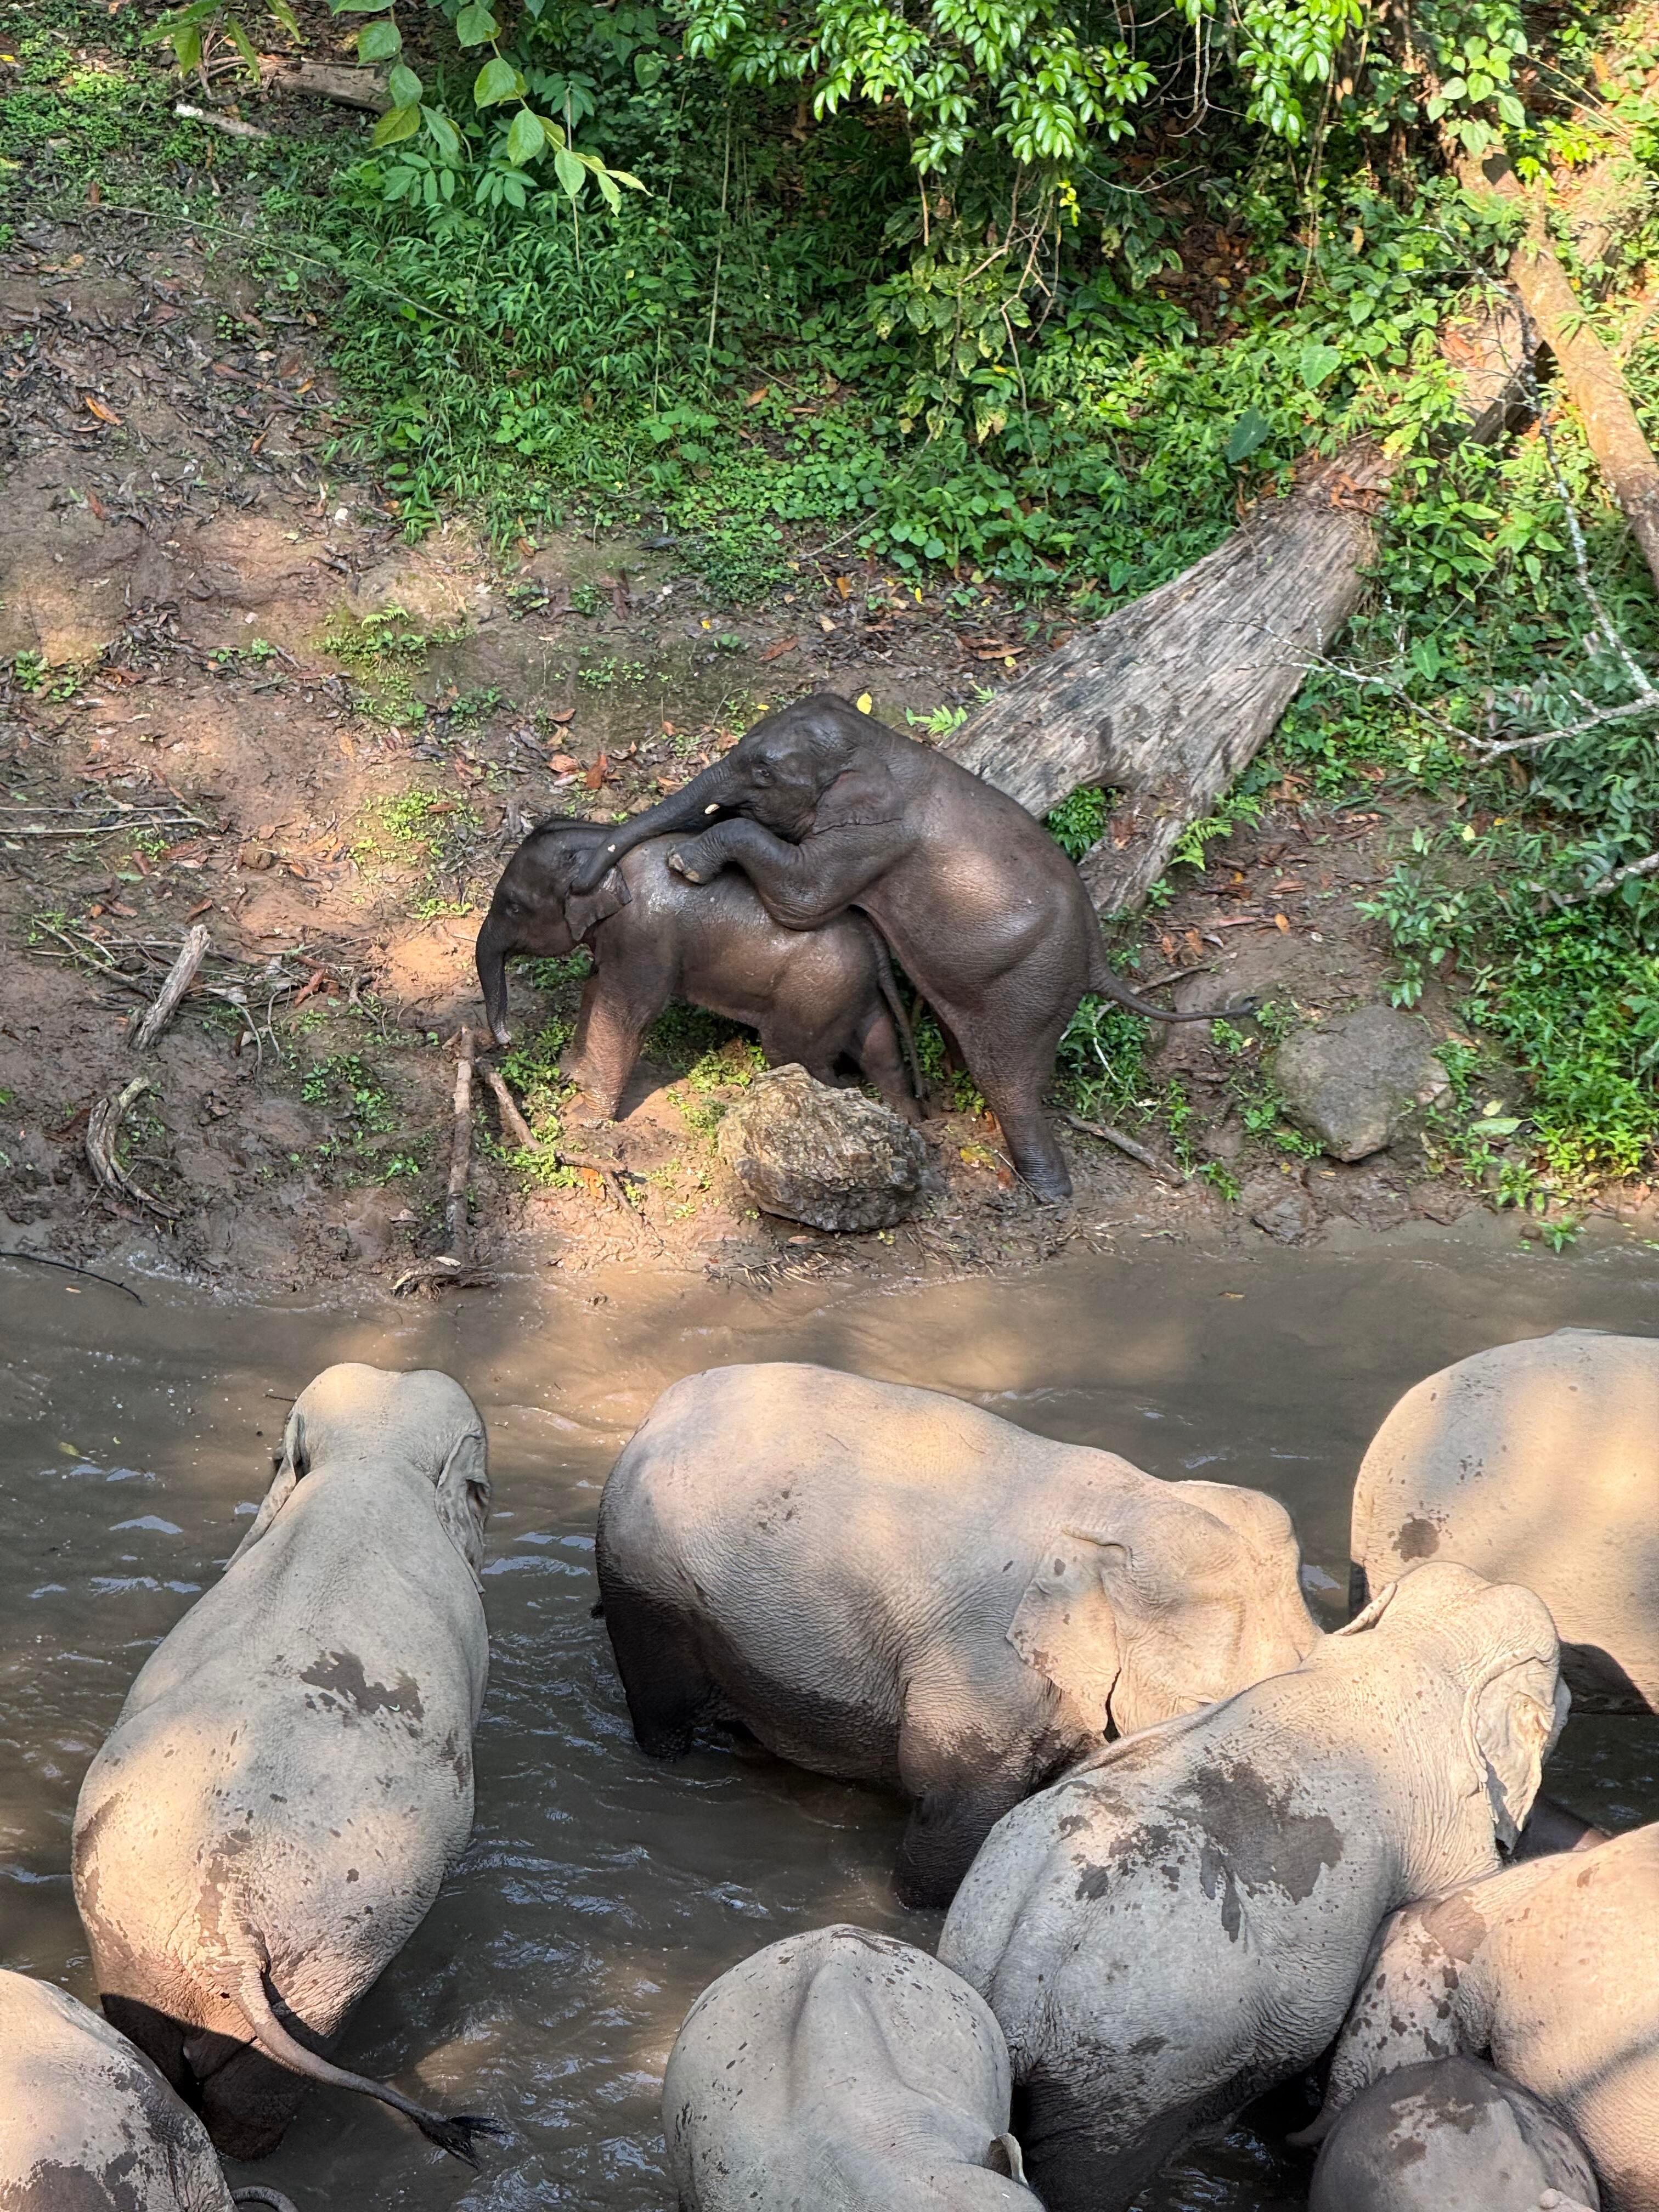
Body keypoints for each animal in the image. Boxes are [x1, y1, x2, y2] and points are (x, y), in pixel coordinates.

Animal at [71, 1364, 500, 2164]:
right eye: (484, 1490)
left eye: (273, 1459)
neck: (368, 1468)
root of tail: (228, 1927)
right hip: (344, 1949)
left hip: (132, 1930)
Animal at [475, 814, 920, 1119]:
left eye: (514, 906)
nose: (508, 1039)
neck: (603, 840)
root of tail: (874, 940)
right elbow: (595, 989)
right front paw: (570, 1076)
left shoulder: (644, 935)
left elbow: (624, 1015)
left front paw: (583, 1119)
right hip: (849, 992)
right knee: (882, 1051)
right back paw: (908, 1119)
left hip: (812, 998)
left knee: (799, 1060)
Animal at [565, 690, 1223, 1201]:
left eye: (763, 773)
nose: (579, 880)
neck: (881, 745)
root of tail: (1096, 957)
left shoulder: (869, 841)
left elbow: (802, 901)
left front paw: (685, 864)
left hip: (1031, 989)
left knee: (1011, 1083)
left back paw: (1043, 1194)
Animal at [595, 1361, 1319, 1907]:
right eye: (1207, 1708)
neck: (1126, 1507)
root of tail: (658, 1409)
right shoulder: (981, 1670)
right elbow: (947, 1806)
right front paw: (914, 1910)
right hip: (642, 1582)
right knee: (662, 1713)